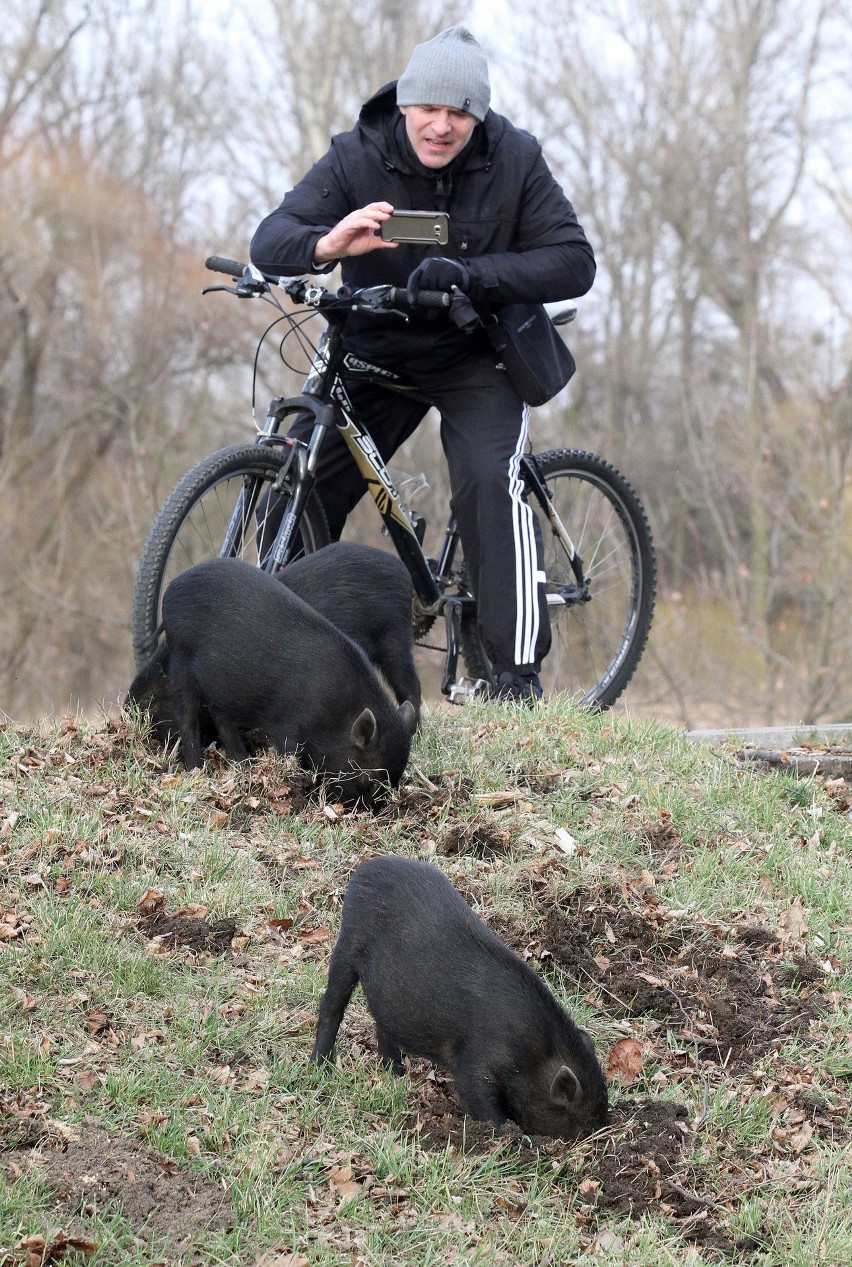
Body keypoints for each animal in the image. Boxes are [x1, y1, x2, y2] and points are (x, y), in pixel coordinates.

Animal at [159, 554, 415, 790]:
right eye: (368, 779)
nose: (368, 808)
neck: (335, 712)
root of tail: (171, 590)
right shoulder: (287, 725)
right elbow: (289, 755)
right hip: (181, 658)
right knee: (187, 715)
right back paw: (197, 770)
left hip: (221, 687)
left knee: (222, 720)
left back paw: (245, 765)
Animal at [313, 861, 606, 1140]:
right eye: (585, 1124)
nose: (601, 1131)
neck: (536, 1055)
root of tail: (366, 867)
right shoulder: (476, 1060)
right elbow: (479, 1098)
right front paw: (510, 1136)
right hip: (348, 943)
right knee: (331, 1007)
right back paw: (321, 1068)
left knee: (383, 1027)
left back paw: (397, 1074)